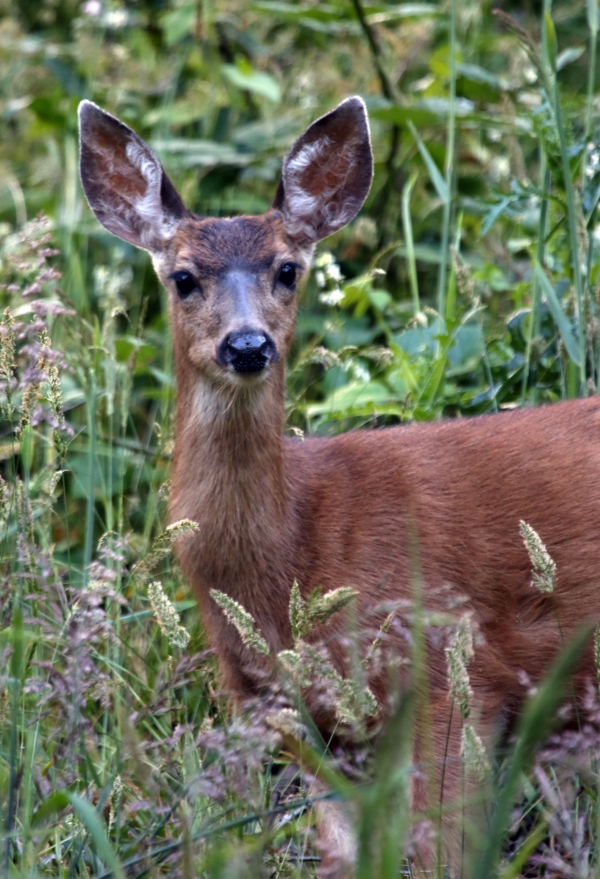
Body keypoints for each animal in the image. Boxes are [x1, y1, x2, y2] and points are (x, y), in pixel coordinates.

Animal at [78, 95, 600, 876]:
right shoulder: (289, 711)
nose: (248, 345)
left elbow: (444, 851)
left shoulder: (453, 668)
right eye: (184, 277)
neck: (296, 549)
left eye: (287, 269)